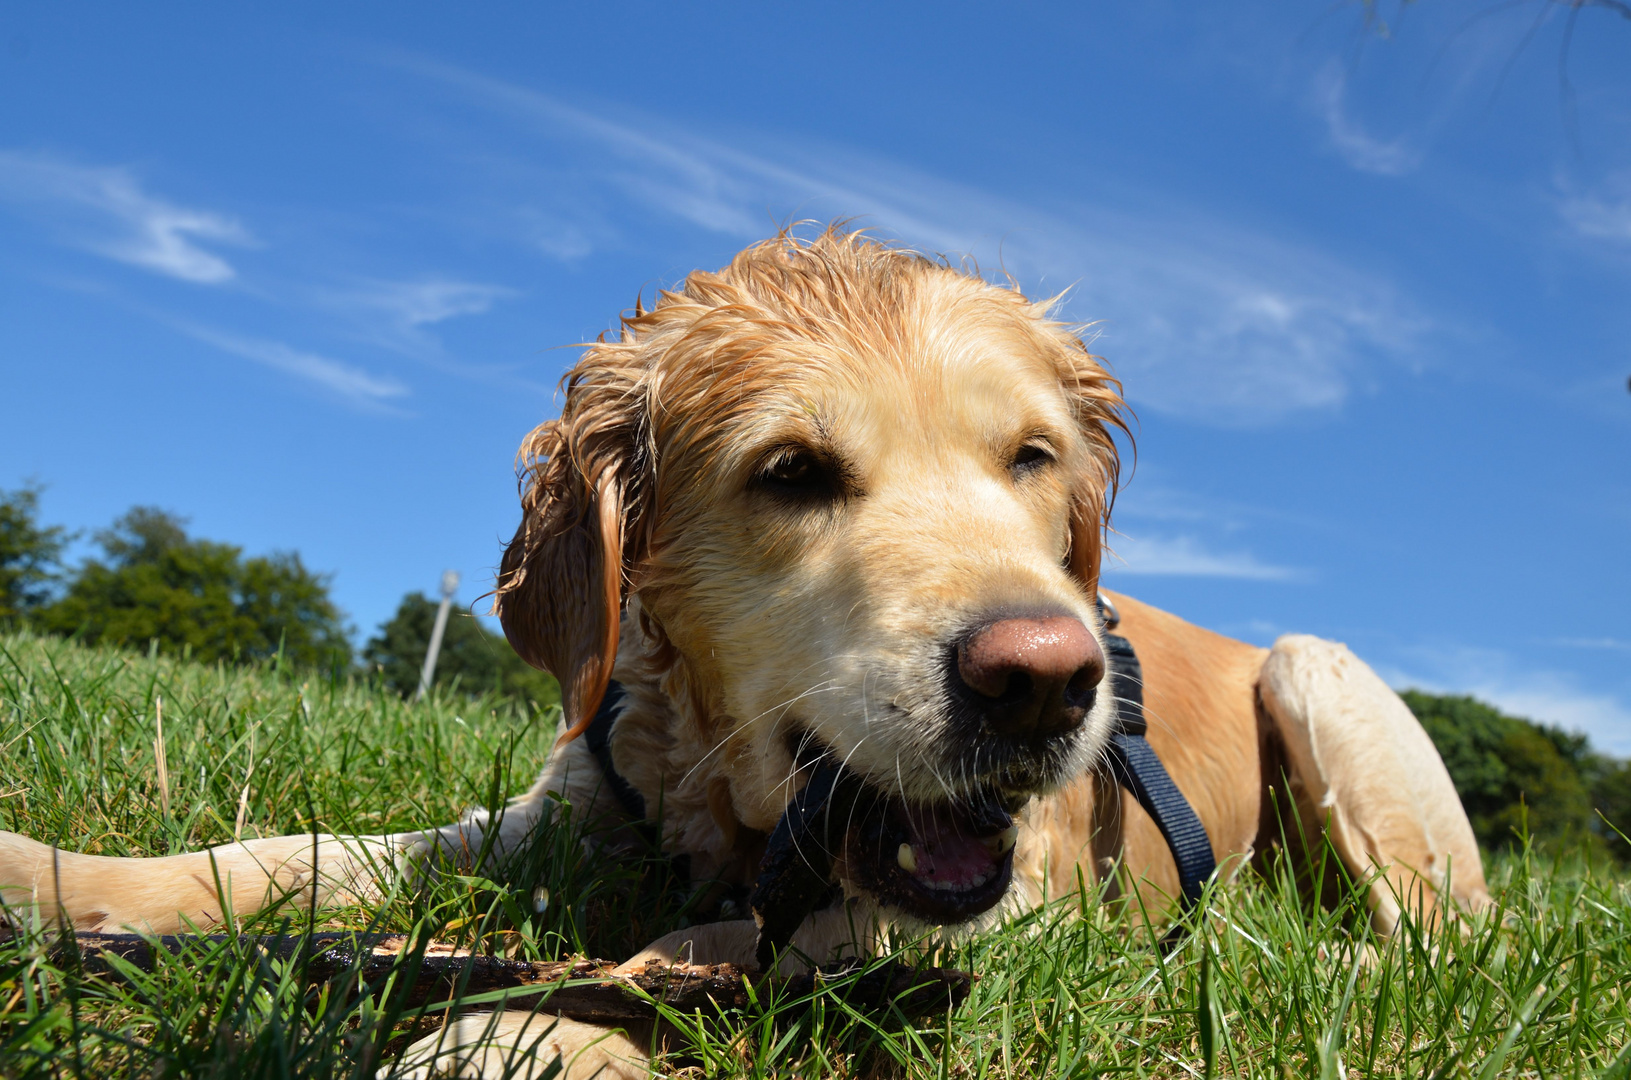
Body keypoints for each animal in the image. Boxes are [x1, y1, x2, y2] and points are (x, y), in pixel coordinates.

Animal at [0, 226, 1493, 1076]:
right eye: (789, 473)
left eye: (1029, 458)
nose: (1043, 681)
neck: (737, 812)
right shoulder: (569, 802)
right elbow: (294, 858)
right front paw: (59, 880)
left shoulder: (1001, 914)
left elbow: (697, 954)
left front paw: (526, 1029)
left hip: (1314, 670)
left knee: (1436, 944)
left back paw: (1281, 947)